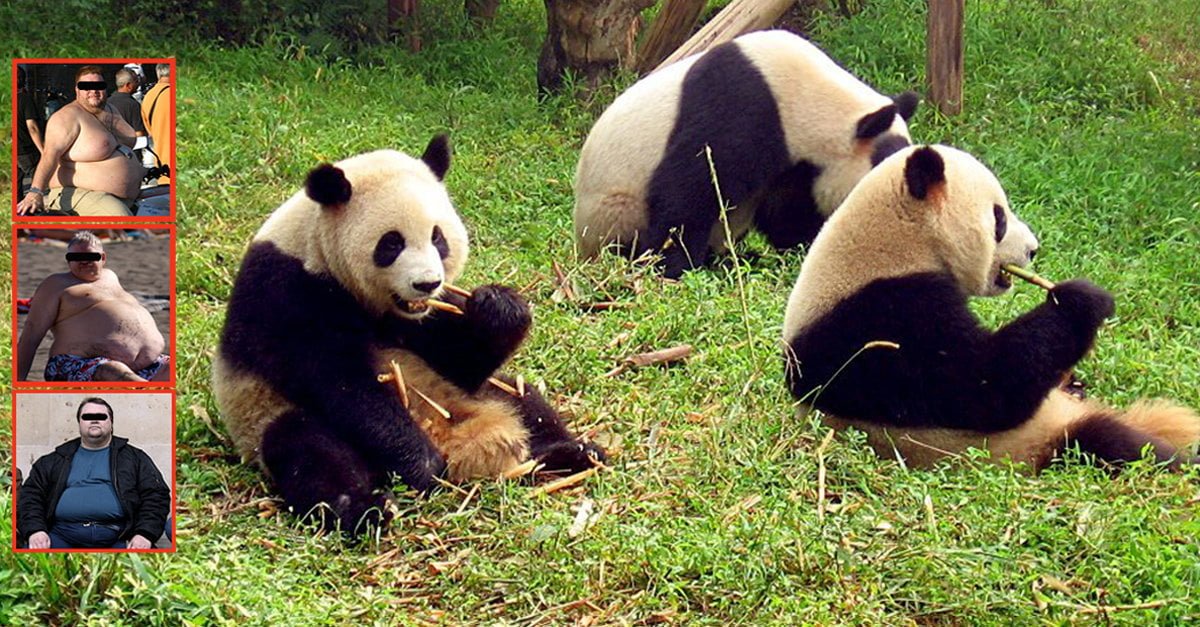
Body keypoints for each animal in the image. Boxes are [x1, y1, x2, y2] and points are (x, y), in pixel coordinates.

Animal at [213, 135, 605, 535]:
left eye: (438, 238)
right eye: (391, 244)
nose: (426, 283)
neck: (316, 248)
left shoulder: (423, 317)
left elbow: (461, 361)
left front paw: (499, 308)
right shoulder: (285, 293)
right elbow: (342, 384)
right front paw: (420, 462)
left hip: (474, 394)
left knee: (523, 399)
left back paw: (572, 452)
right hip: (265, 413)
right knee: (310, 450)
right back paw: (366, 508)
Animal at [573, 29, 918, 278]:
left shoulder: (794, 164)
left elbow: (788, 208)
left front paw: (807, 247)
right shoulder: (739, 108)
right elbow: (689, 191)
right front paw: (674, 266)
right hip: (613, 209)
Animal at [782, 144, 1200, 470]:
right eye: (999, 218)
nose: (1033, 249)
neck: (895, 242)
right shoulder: (882, 316)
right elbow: (982, 386)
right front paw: (1082, 300)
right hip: (1042, 439)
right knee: (1117, 444)